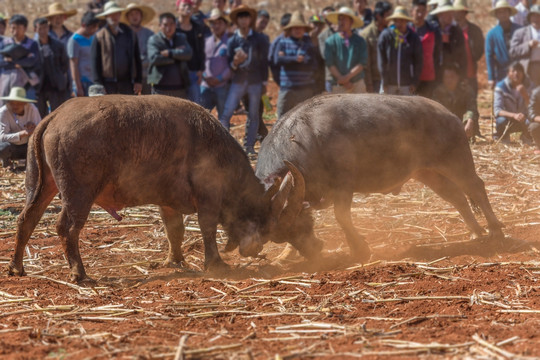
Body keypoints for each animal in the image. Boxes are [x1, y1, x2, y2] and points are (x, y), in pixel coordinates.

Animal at [7, 95, 304, 284]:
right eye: (263, 219)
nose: (255, 249)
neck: (216, 149)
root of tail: (54, 117)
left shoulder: (168, 202)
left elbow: (175, 230)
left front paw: (175, 260)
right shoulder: (208, 197)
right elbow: (207, 228)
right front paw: (216, 264)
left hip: (40, 186)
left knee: (26, 220)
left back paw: (16, 267)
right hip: (79, 194)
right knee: (67, 228)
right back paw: (79, 273)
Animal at [255, 93, 504, 262]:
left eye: (299, 226)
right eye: (286, 235)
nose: (313, 251)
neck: (306, 139)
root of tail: (449, 114)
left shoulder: (344, 184)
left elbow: (341, 216)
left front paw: (360, 249)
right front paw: (287, 255)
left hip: (456, 162)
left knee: (475, 187)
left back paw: (494, 230)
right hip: (427, 173)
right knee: (456, 196)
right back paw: (475, 232)